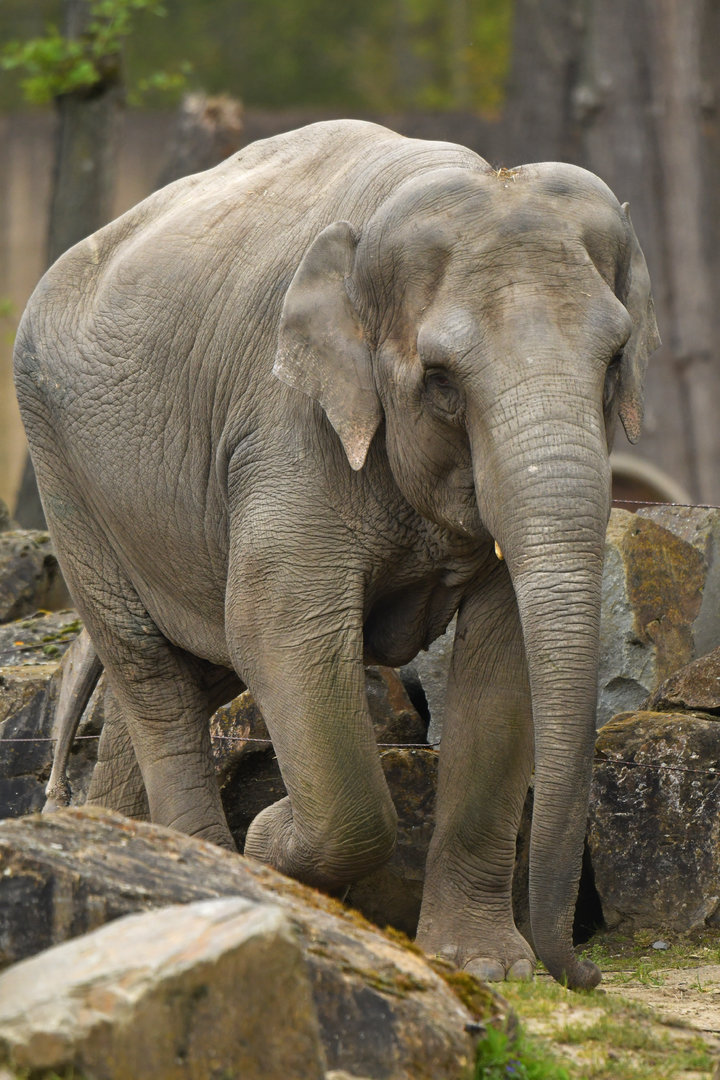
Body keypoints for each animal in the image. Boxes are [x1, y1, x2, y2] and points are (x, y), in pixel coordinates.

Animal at [14, 120, 659, 990]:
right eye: (441, 380)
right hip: (66, 477)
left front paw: (489, 969)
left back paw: (117, 850)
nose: (586, 973)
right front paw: (270, 839)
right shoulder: (286, 428)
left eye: (615, 360)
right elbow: (278, 626)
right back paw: (209, 879)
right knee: (149, 666)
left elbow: (505, 656)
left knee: (182, 673)